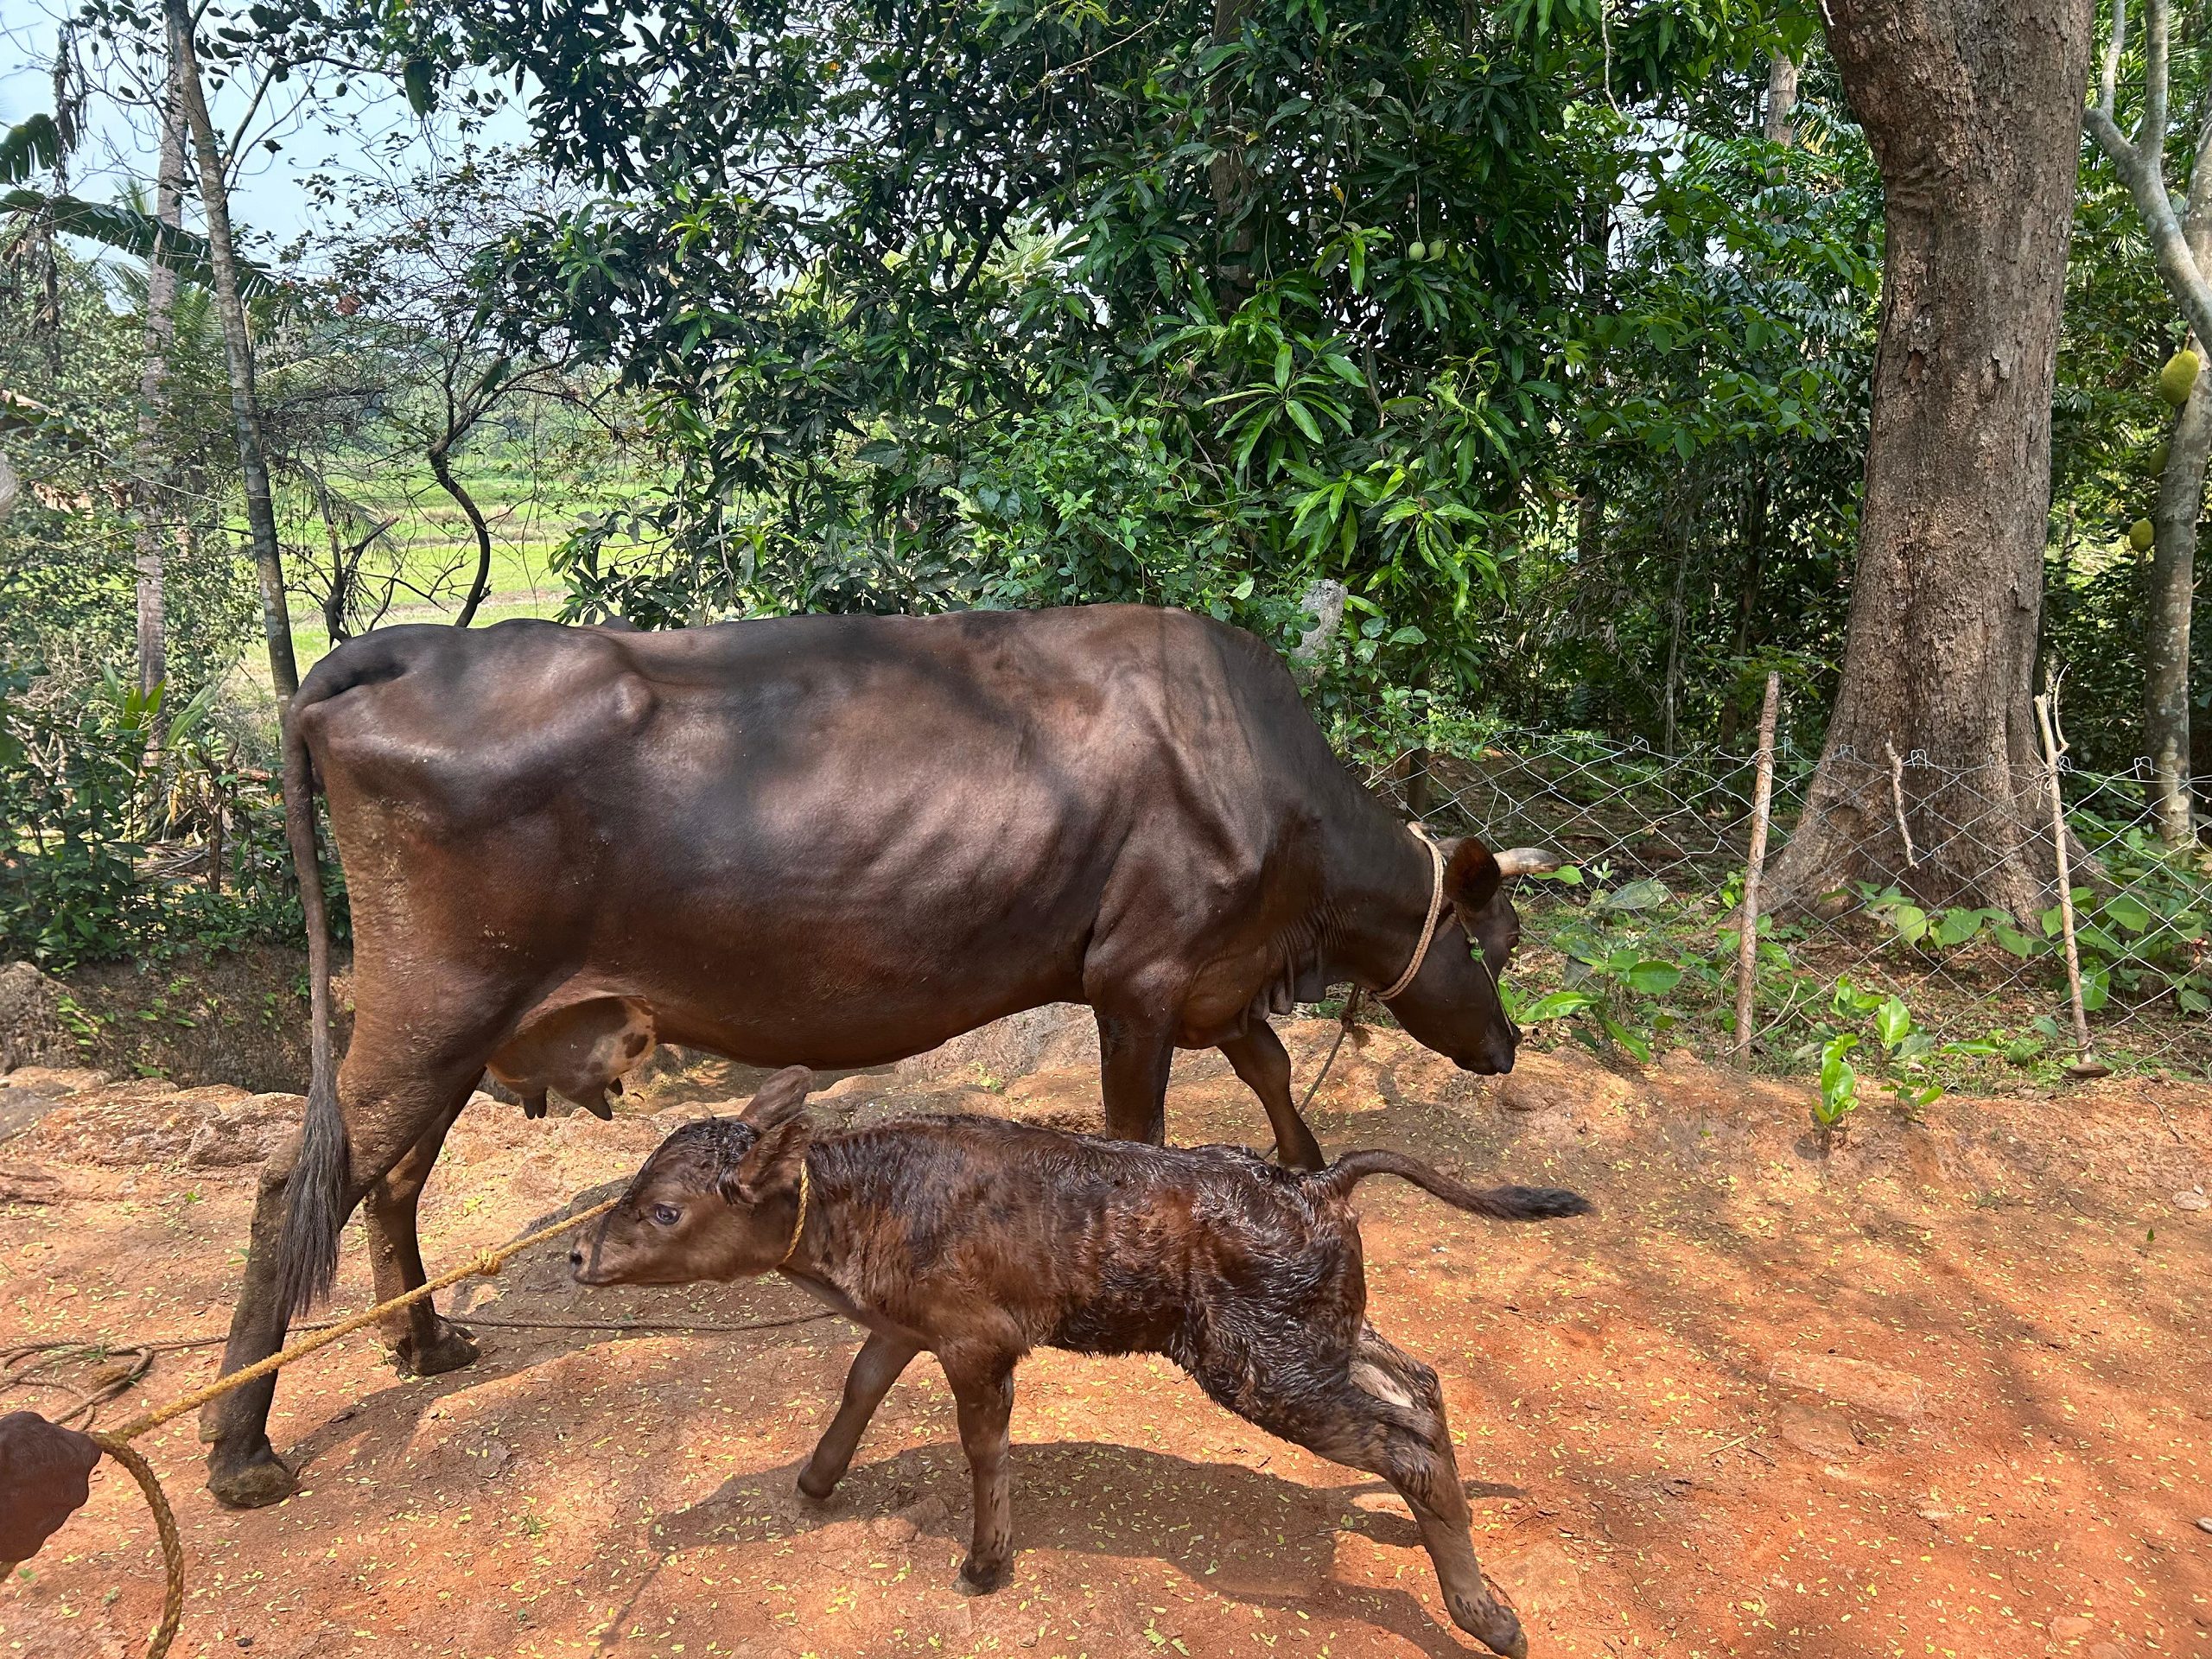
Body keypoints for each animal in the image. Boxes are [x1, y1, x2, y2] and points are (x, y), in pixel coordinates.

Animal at [202, 603, 1555, 1509]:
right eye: (1495, 939)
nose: (1505, 1045)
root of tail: (411, 646)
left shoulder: (1207, 978)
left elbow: (1269, 1065)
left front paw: (1304, 1160)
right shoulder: (1141, 976)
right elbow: (1142, 1135)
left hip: (461, 1016)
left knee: (389, 1176)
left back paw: (423, 1343)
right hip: (435, 998)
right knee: (290, 1186)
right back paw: (241, 1451)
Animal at [573, 1067, 1592, 1658]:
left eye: (664, 1210)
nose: (578, 1255)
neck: (862, 1206)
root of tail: (1315, 1182)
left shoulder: (977, 1340)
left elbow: (982, 1446)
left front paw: (986, 1564)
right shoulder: (907, 1324)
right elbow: (859, 1385)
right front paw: (817, 1482)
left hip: (1265, 1366)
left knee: (1405, 1441)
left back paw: (1485, 1615)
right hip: (1326, 1335)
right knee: (1420, 1387)